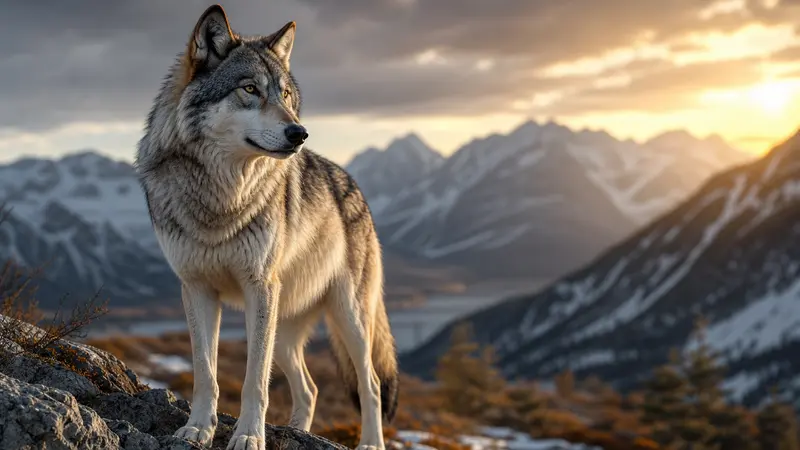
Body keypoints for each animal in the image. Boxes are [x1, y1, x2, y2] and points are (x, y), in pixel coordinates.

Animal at [134, 5, 398, 450]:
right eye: (250, 89)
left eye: (286, 95)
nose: (300, 132)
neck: (222, 200)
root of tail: (353, 183)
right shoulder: (197, 288)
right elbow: (205, 372)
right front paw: (198, 427)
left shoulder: (258, 288)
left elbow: (254, 379)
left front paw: (248, 436)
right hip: (286, 328)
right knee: (310, 388)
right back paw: (297, 431)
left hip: (348, 317)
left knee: (373, 384)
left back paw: (370, 443)